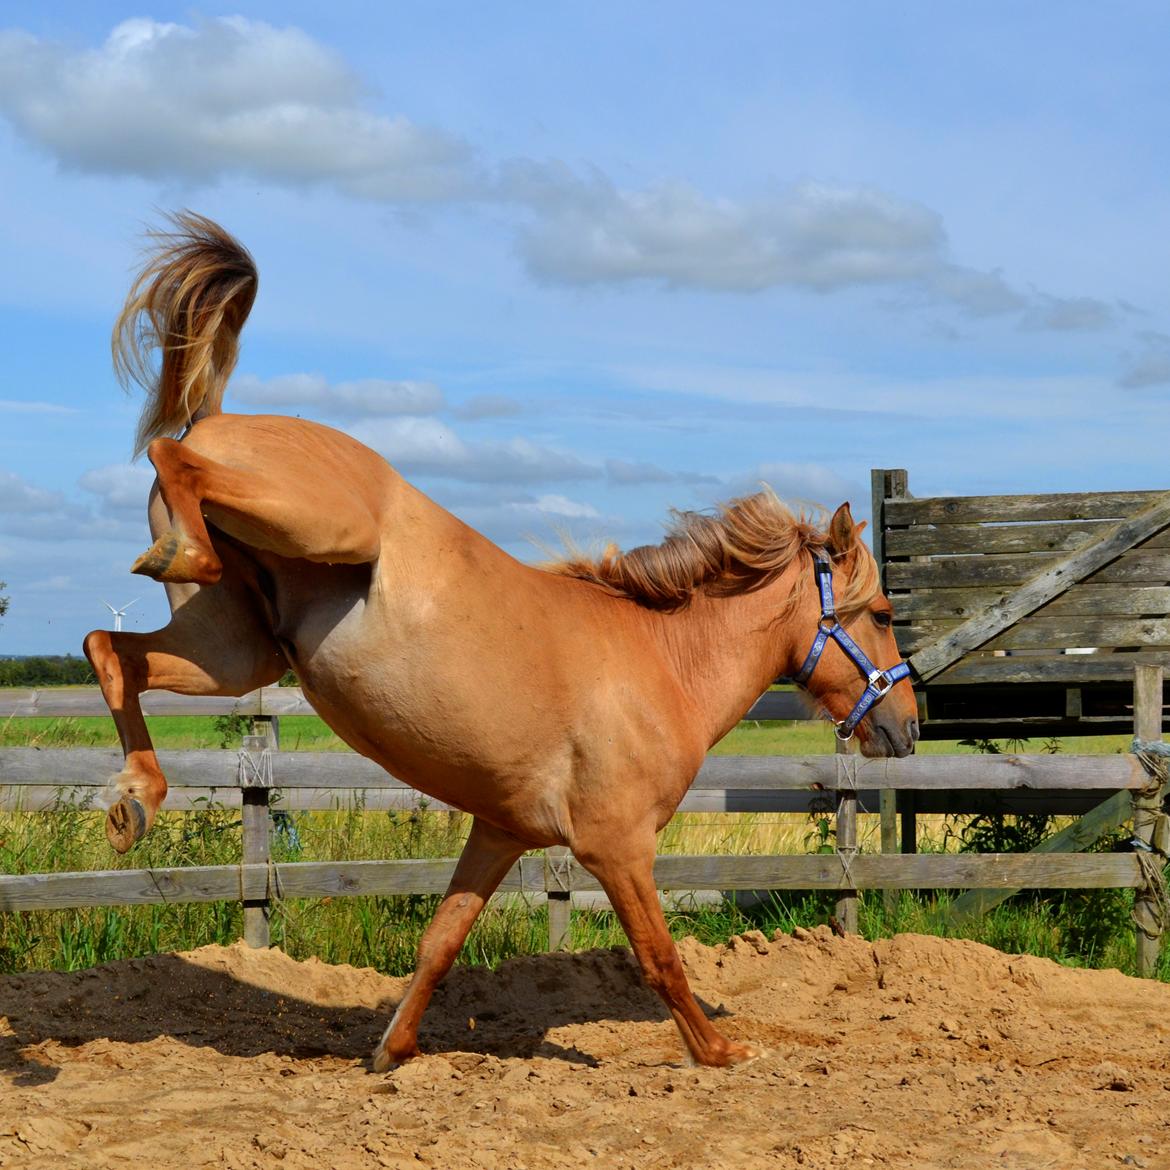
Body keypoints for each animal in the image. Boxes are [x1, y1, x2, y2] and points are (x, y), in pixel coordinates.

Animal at [84, 210, 921, 1071]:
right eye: (883, 613)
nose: (908, 725)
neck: (662, 664)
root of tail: (221, 420)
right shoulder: (617, 846)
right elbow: (659, 957)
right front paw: (719, 1053)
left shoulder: (500, 831)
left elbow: (440, 943)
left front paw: (390, 1054)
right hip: (322, 531)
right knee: (166, 462)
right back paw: (177, 558)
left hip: (235, 650)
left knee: (108, 650)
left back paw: (133, 802)